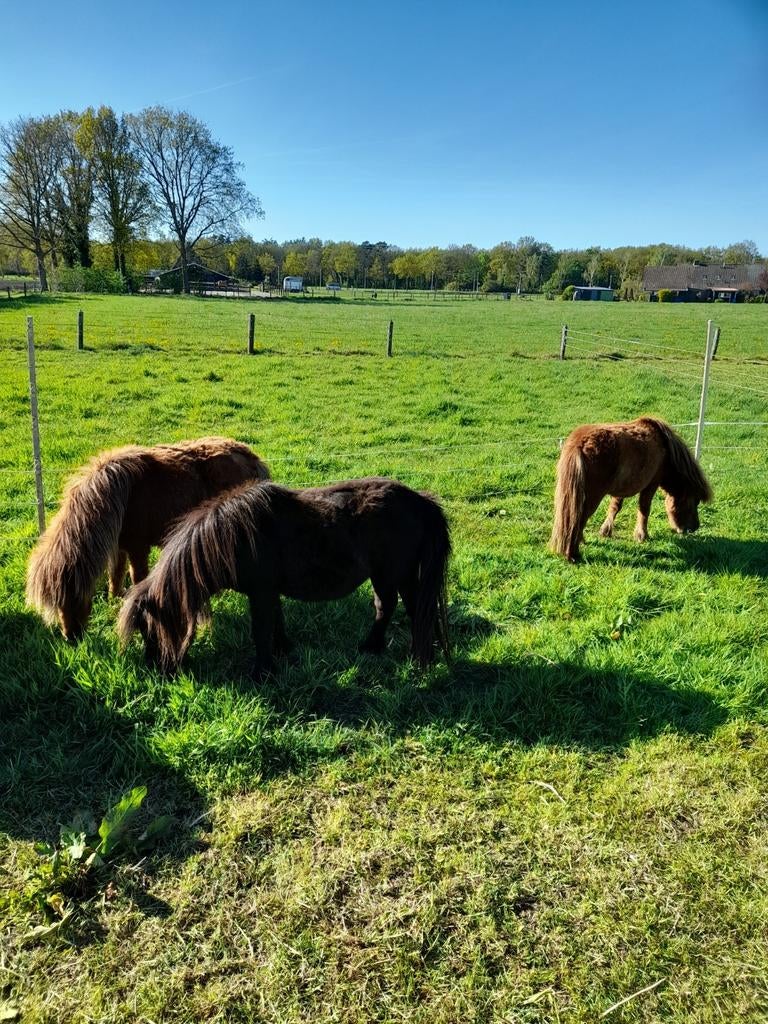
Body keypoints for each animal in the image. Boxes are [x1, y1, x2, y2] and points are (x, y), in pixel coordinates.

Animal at [26, 438, 270, 640]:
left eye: (73, 597)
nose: (71, 637)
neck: (117, 496)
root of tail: (251, 457)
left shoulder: (138, 548)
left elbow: (137, 579)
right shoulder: (119, 548)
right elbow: (115, 576)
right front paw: (114, 603)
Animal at [118, 477, 451, 677]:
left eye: (149, 628)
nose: (156, 670)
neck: (234, 537)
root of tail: (420, 501)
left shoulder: (261, 591)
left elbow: (260, 630)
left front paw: (262, 672)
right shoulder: (270, 591)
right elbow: (276, 622)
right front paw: (283, 650)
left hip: (393, 575)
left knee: (402, 608)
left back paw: (404, 654)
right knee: (401, 608)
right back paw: (386, 649)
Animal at [550, 417, 712, 562]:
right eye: (694, 502)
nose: (694, 528)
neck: (665, 447)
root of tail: (579, 444)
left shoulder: (621, 489)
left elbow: (615, 507)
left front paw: (606, 531)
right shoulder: (652, 483)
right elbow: (644, 508)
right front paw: (642, 535)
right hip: (591, 498)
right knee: (578, 519)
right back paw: (573, 554)